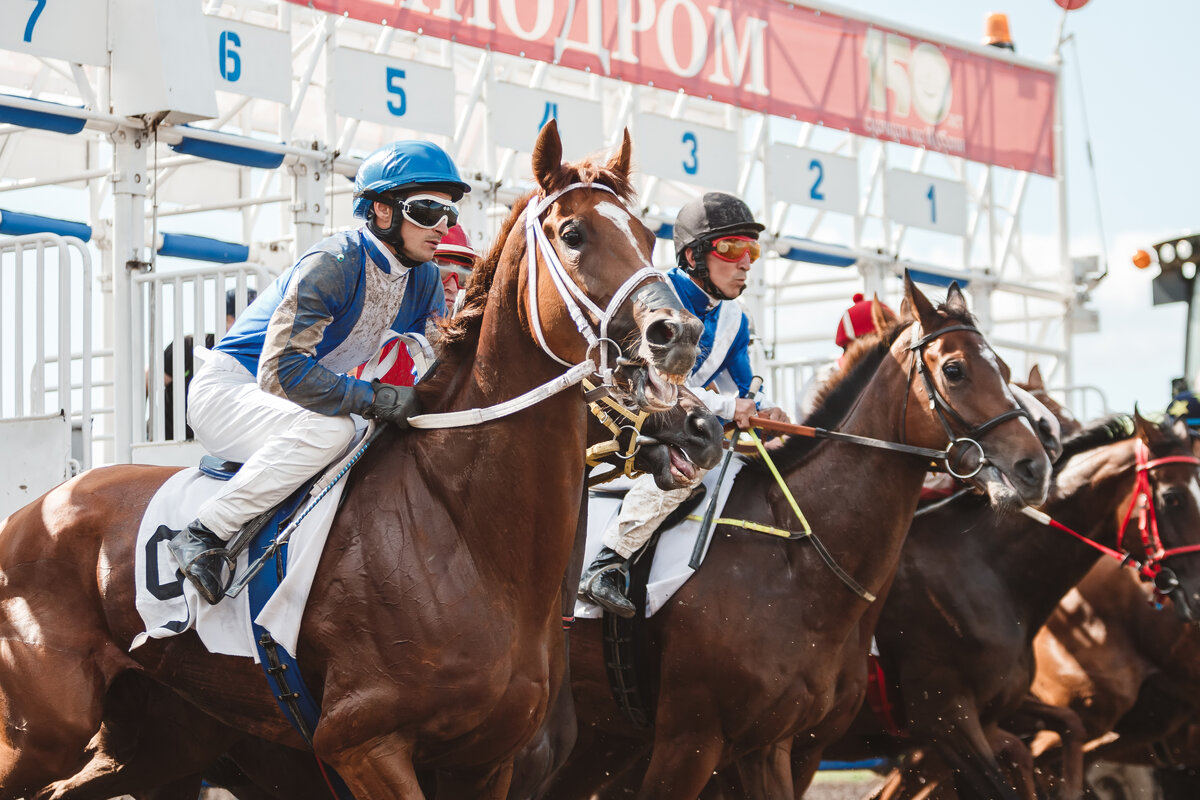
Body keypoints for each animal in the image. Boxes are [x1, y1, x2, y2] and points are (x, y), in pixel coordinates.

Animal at [0, 120, 700, 800]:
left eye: (647, 236)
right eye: (574, 233)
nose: (680, 333)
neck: (469, 536)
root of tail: (32, 511)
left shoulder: (486, 762)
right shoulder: (359, 740)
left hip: (158, 737)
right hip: (44, 727)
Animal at [544, 277, 1051, 800]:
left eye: (1005, 368)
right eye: (954, 370)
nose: (1034, 468)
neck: (795, 563)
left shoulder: (779, 745)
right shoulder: (690, 739)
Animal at [835, 412, 1200, 800]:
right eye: (1173, 496)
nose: (1197, 596)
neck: (985, 570)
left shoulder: (996, 711)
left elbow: (1062, 733)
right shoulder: (945, 719)